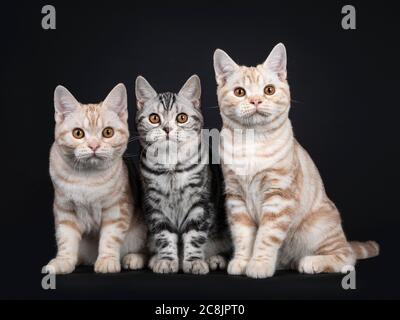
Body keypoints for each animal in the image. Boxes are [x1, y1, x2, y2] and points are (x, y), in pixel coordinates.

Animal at [44, 84, 147, 274]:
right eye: (78, 133)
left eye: (108, 132)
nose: (94, 145)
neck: (87, 178)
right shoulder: (64, 209)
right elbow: (66, 239)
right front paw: (64, 261)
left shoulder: (116, 209)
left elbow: (110, 238)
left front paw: (107, 260)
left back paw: (134, 258)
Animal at [135, 74, 230, 272]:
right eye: (154, 118)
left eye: (182, 118)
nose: (167, 129)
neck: (171, 164)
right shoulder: (155, 207)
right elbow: (164, 236)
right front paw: (166, 260)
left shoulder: (200, 204)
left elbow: (195, 235)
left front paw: (193, 261)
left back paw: (215, 259)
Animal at [212, 43, 378, 278]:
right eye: (239, 92)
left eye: (269, 90)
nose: (256, 100)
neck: (252, 144)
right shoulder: (236, 198)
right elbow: (243, 235)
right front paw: (242, 261)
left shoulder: (279, 197)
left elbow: (266, 237)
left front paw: (259, 264)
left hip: (319, 227)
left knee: (346, 256)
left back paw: (311, 262)